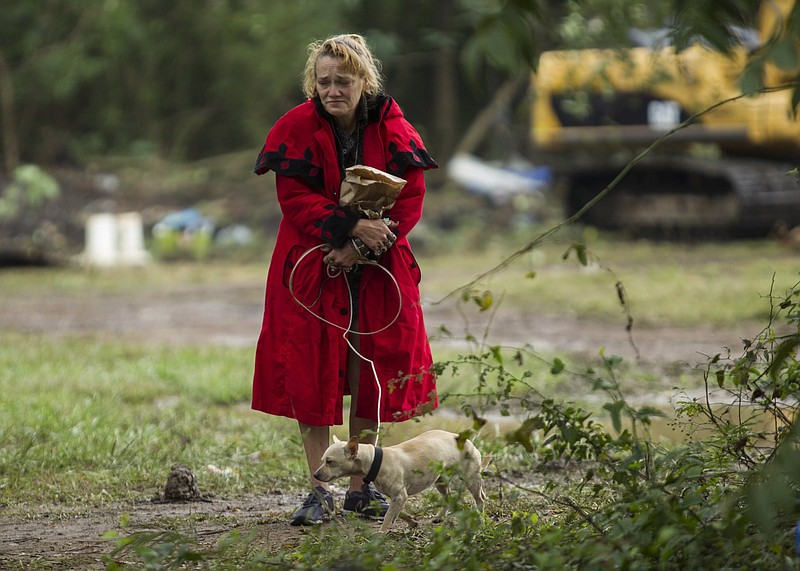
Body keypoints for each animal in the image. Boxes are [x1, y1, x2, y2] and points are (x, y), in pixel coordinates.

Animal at [314, 432, 488, 536]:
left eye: (330, 462)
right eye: (322, 460)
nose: (315, 475)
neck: (376, 461)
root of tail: (465, 438)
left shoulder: (400, 496)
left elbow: (389, 515)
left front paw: (382, 532)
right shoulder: (398, 498)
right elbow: (396, 512)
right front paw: (412, 521)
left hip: (471, 480)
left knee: (480, 500)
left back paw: (479, 519)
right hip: (440, 482)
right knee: (449, 498)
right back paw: (439, 517)